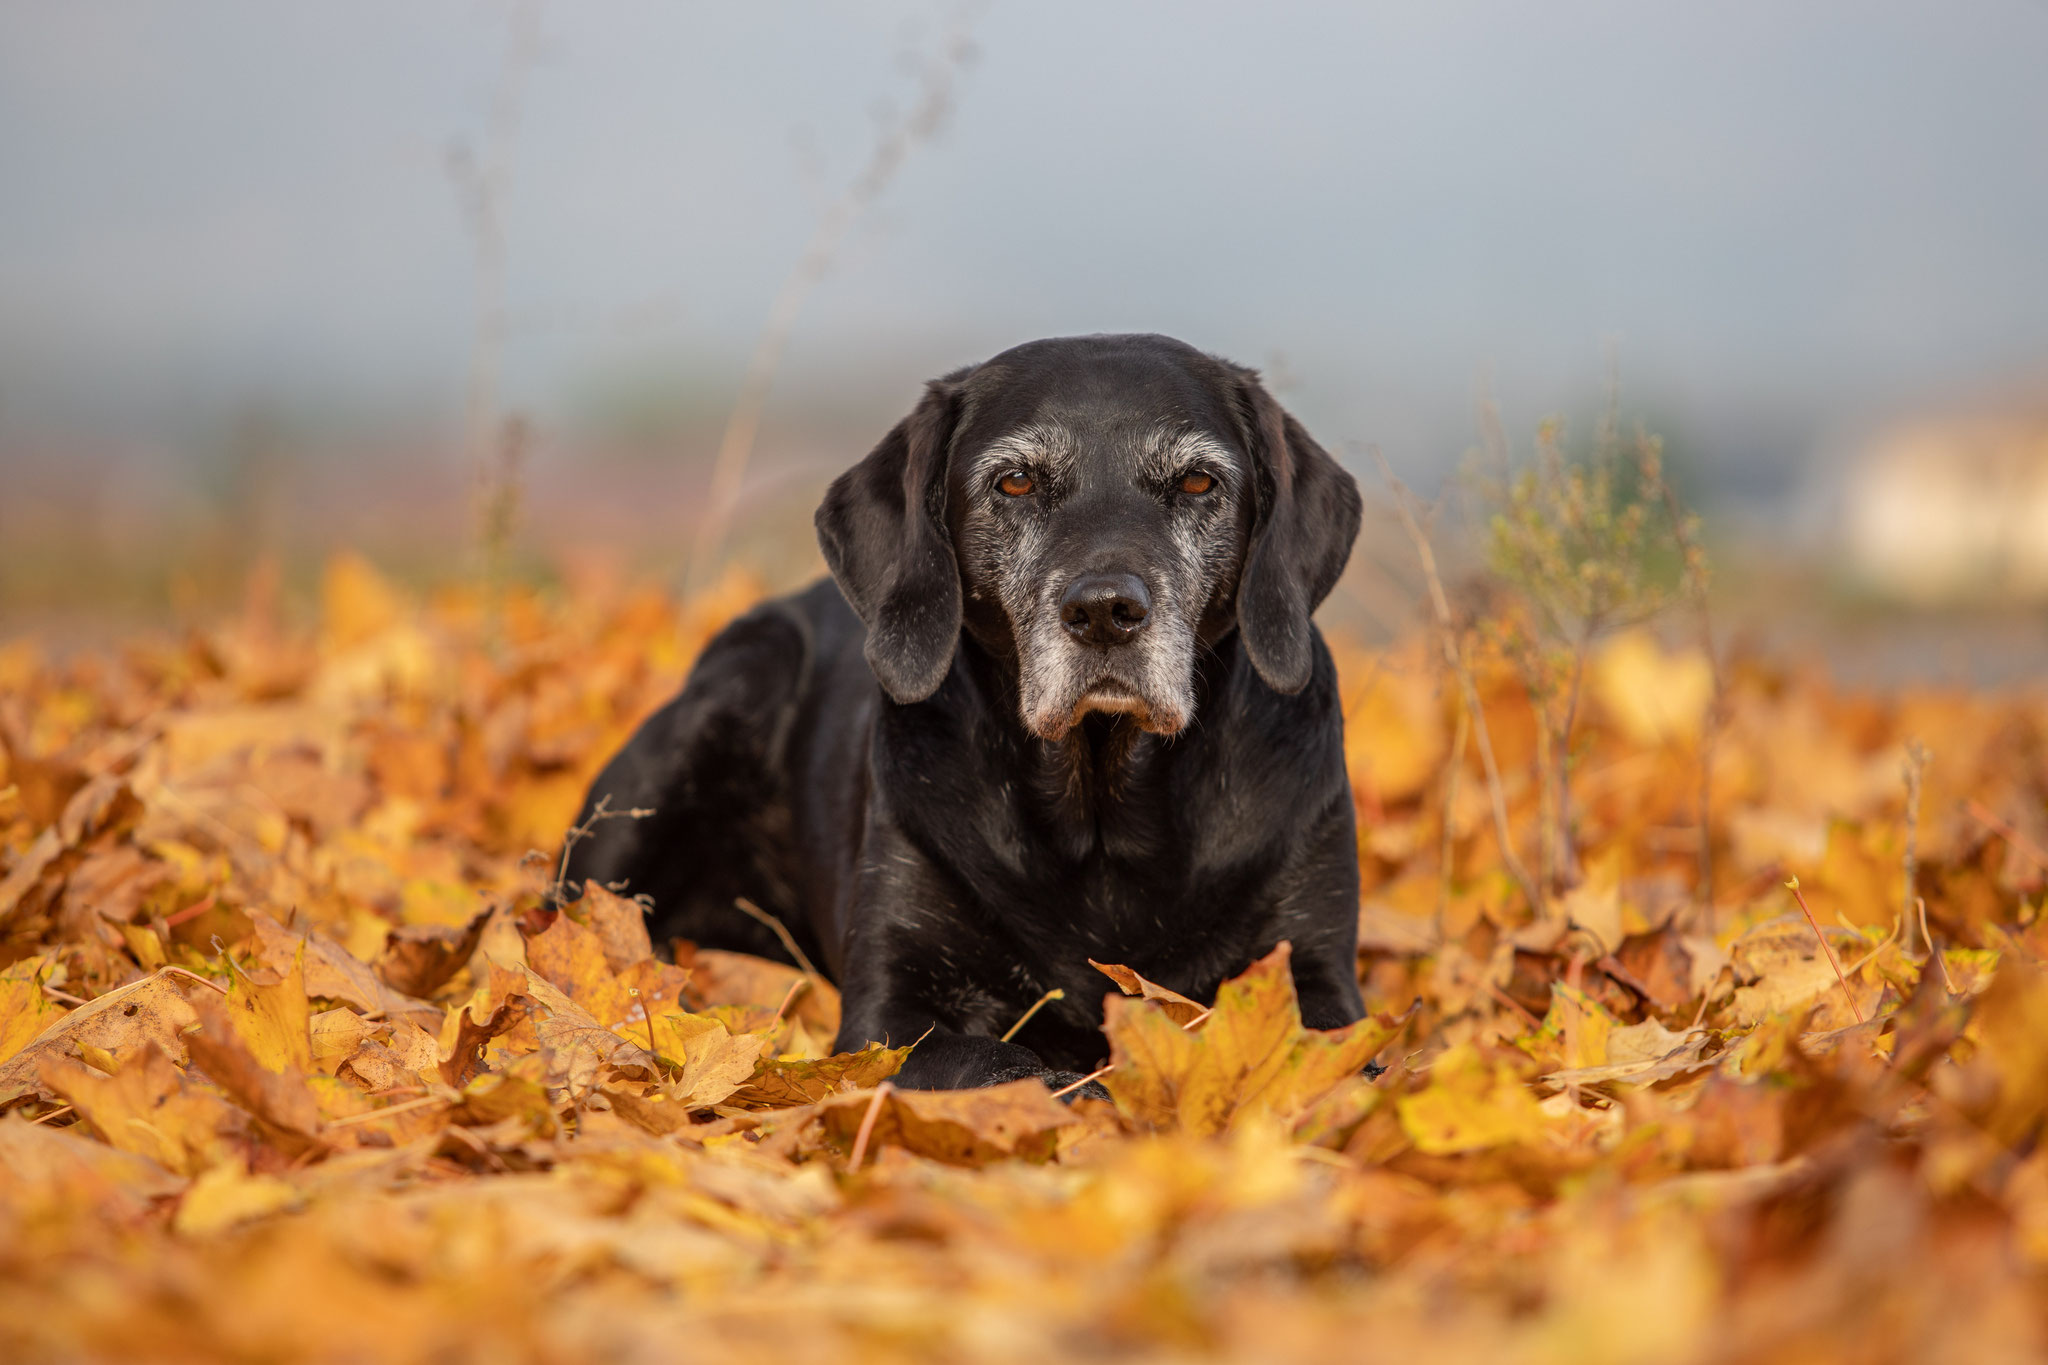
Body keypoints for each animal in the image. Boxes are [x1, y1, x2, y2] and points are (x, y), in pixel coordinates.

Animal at [565, 335, 1359, 1096]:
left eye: (1198, 481)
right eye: (1016, 481)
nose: (1105, 611)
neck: (1104, 816)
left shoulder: (1313, 969)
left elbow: (1336, 1057)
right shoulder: (891, 1006)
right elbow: (988, 1059)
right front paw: (1070, 1091)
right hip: (709, 716)